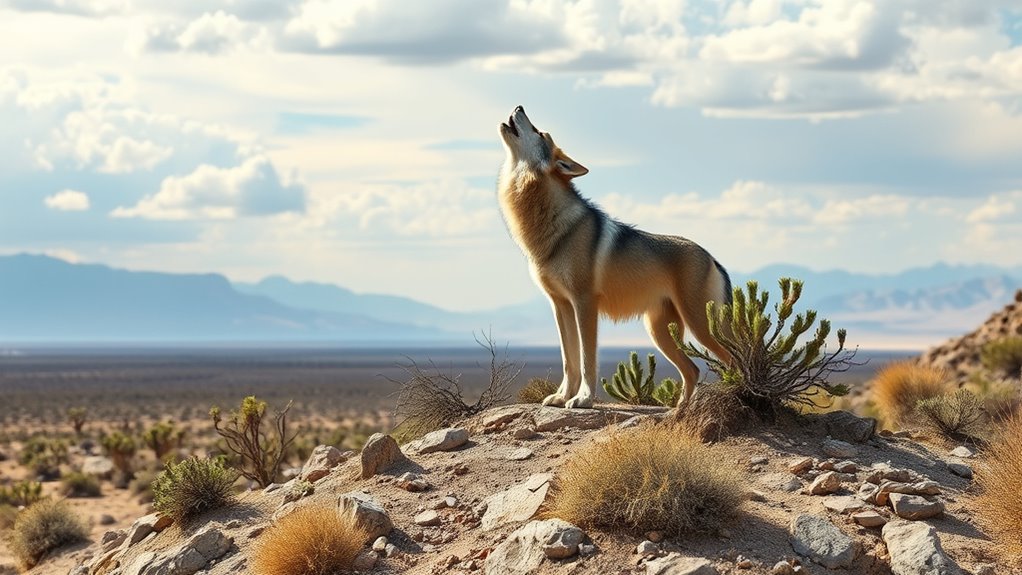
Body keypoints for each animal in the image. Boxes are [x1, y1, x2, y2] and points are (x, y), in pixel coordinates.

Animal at [497, 106, 733, 409]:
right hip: (660, 333)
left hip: (700, 327)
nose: (519, 107)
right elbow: (568, 360)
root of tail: (712, 257)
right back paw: (680, 410)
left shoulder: (584, 303)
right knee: (692, 370)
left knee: (734, 359)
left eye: (539, 132)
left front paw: (583, 399)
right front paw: (562, 396)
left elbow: (587, 360)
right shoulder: (560, 305)